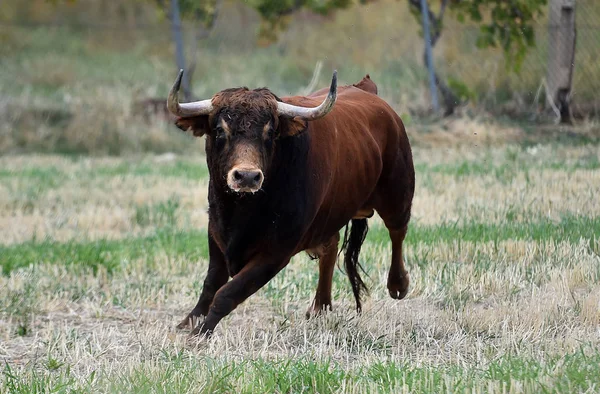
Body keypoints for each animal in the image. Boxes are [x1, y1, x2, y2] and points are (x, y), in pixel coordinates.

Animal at [166, 70, 414, 336]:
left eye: (270, 132)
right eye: (220, 130)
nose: (247, 176)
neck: (242, 209)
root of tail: (367, 90)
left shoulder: (277, 251)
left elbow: (228, 293)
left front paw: (200, 333)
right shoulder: (216, 232)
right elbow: (212, 282)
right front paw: (188, 322)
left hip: (397, 194)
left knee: (397, 231)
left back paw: (398, 284)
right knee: (331, 246)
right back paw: (320, 307)